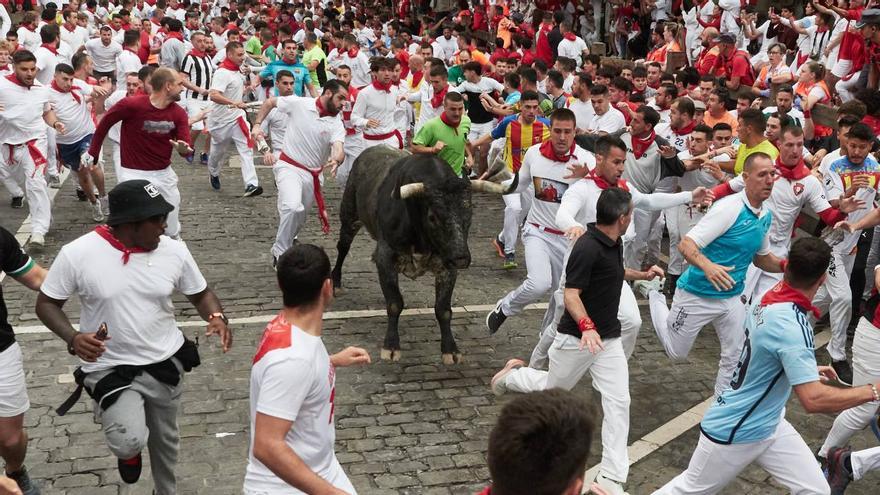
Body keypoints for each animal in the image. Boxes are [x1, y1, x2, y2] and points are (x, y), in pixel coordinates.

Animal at [331, 146, 516, 364]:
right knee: (342, 247)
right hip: (349, 216)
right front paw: (391, 347)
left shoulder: (447, 265)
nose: (462, 258)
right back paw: (335, 283)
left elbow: (443, 309)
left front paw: (450, 350)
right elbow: (394, 303)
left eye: (469, 213)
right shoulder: (386, 257)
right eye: (433, 216)